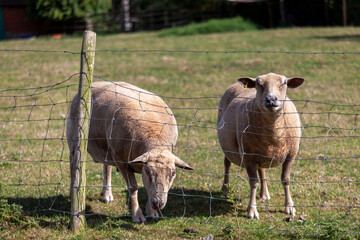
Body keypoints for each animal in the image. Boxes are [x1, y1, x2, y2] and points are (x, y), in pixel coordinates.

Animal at [65, 81, 193, 223]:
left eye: (173, 173)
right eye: (148, 171)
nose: (158, 203)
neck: (155, 139)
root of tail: (96, 82)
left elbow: (147, 189)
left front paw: (152, 213)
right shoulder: (121, 162)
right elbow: (133, 188)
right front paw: (137, 215)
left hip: (107, 148)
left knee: (107, 167)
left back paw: (107, 194)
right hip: (74, 140)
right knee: (73, 163)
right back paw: (73, 192)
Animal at [217, 72, 304, 218]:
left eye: (283, 83)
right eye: (259, 84)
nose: (271, 99)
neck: (273, 130)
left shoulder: (291, 154)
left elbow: (285, 180)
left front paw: (289, 206)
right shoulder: (248, 156)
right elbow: (253, 183)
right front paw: (251, 210)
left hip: (261, 154)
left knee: (262, 170)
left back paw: (264, 194)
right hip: (228, 145)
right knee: (226, 163)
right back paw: (225, 188)